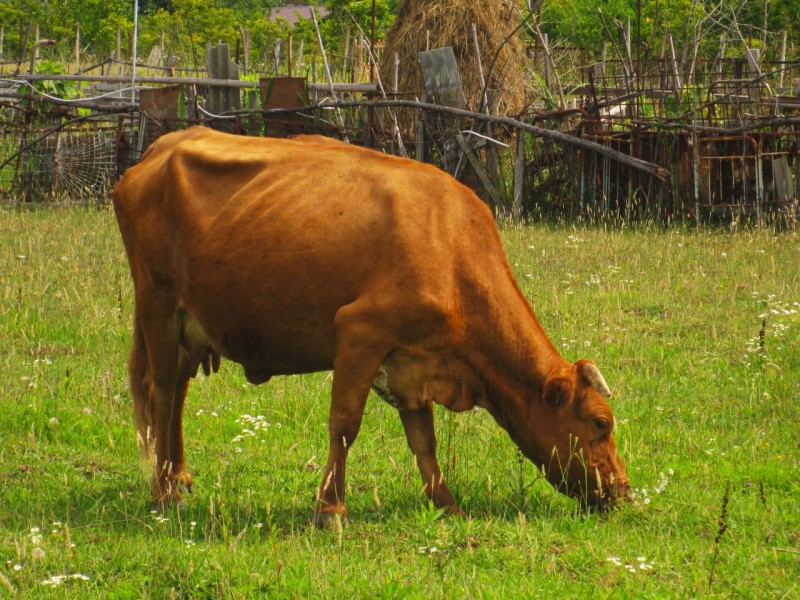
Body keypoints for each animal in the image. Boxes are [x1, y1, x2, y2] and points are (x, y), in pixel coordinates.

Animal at [111, 126, 632, 524]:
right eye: (600, 423)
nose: (624, 490)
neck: (450, 248)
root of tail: (164, 145)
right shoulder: (361, 333)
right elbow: (344, 424)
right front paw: (330, 509)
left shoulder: (413, 366)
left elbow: (424, 442)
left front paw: (447, 506)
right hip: (157, 304)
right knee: (160, 391)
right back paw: (163, 492)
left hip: (191, 323)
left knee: (177, 391)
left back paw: (178, 474)